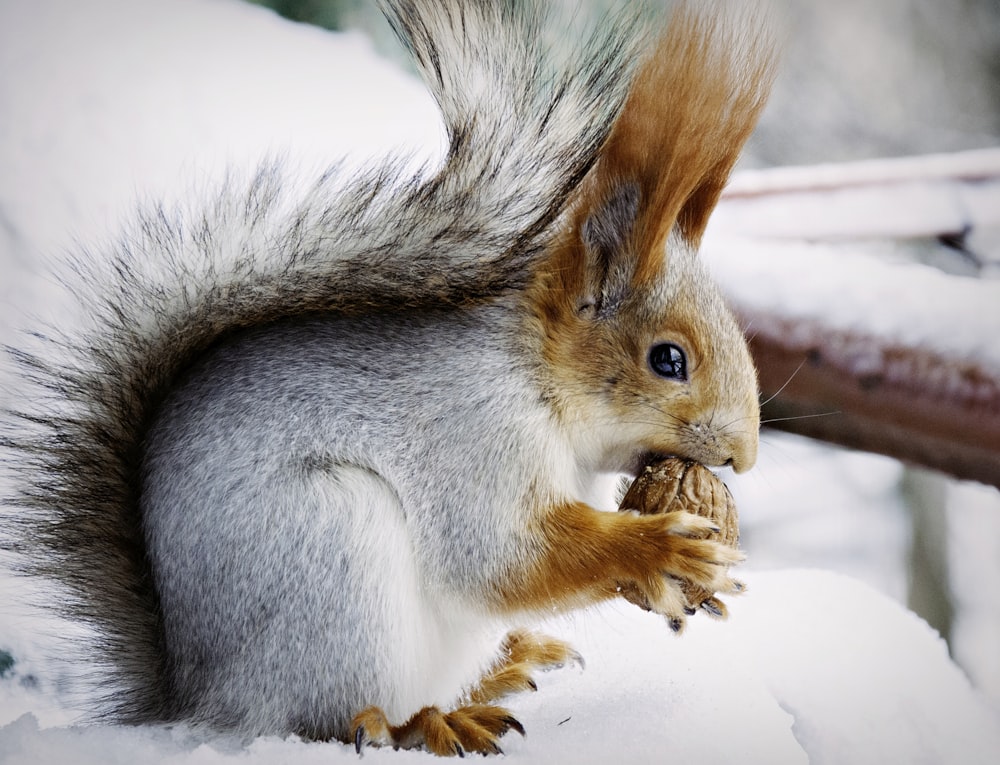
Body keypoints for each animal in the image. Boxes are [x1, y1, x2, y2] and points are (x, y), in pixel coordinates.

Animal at [0, 0, 776, 756]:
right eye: (668, 359)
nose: (743, 456)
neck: (537, 378)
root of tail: (194, 698)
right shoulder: (471, 433)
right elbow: (498, 557)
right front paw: (661, 549)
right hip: (331, 554)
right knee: (319, 718)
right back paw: (416, 724)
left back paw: (502, 669)